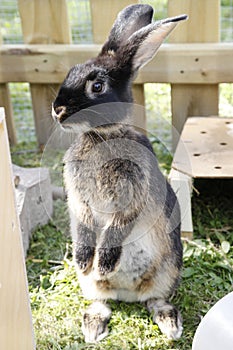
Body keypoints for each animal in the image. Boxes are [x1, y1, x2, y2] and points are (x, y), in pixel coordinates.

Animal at [52, 4, 187, 344]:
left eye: (97, 86)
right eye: (71, 72)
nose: (57, 110)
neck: (103, 136)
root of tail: (127, 295)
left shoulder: (131, 195)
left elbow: (117, 227)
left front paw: (104, 262)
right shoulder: (79, 198)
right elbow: (84, 221)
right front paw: (86, 258)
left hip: (169, 269)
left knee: (156, 299)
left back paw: (170, 325)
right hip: (90, 286)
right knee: (102, 300)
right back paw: (93, 324)